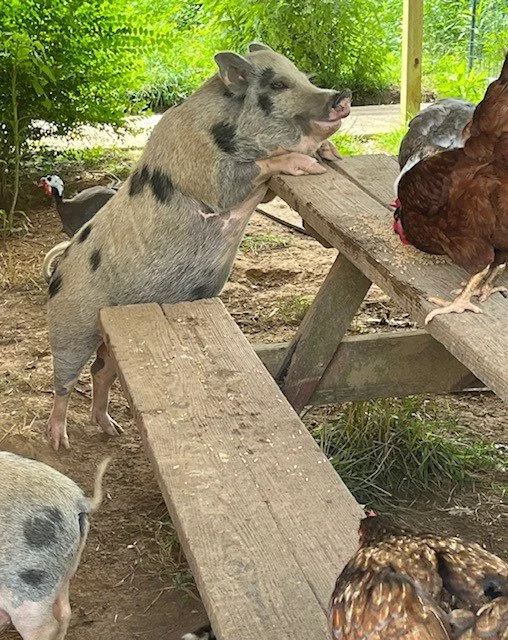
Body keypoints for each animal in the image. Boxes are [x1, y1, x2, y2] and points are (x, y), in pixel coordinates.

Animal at [46, 43, 352, 450]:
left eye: (304, 77)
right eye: (279, 84)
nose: (341, 95)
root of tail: (56, 274)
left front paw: (330, 154)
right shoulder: (211, 175)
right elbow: (252, 171)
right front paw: (311, 163)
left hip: (107, 342)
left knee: (100, 371)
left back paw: (112, 428)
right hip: (70, 327)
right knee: (63, 383)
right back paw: (59, 442)